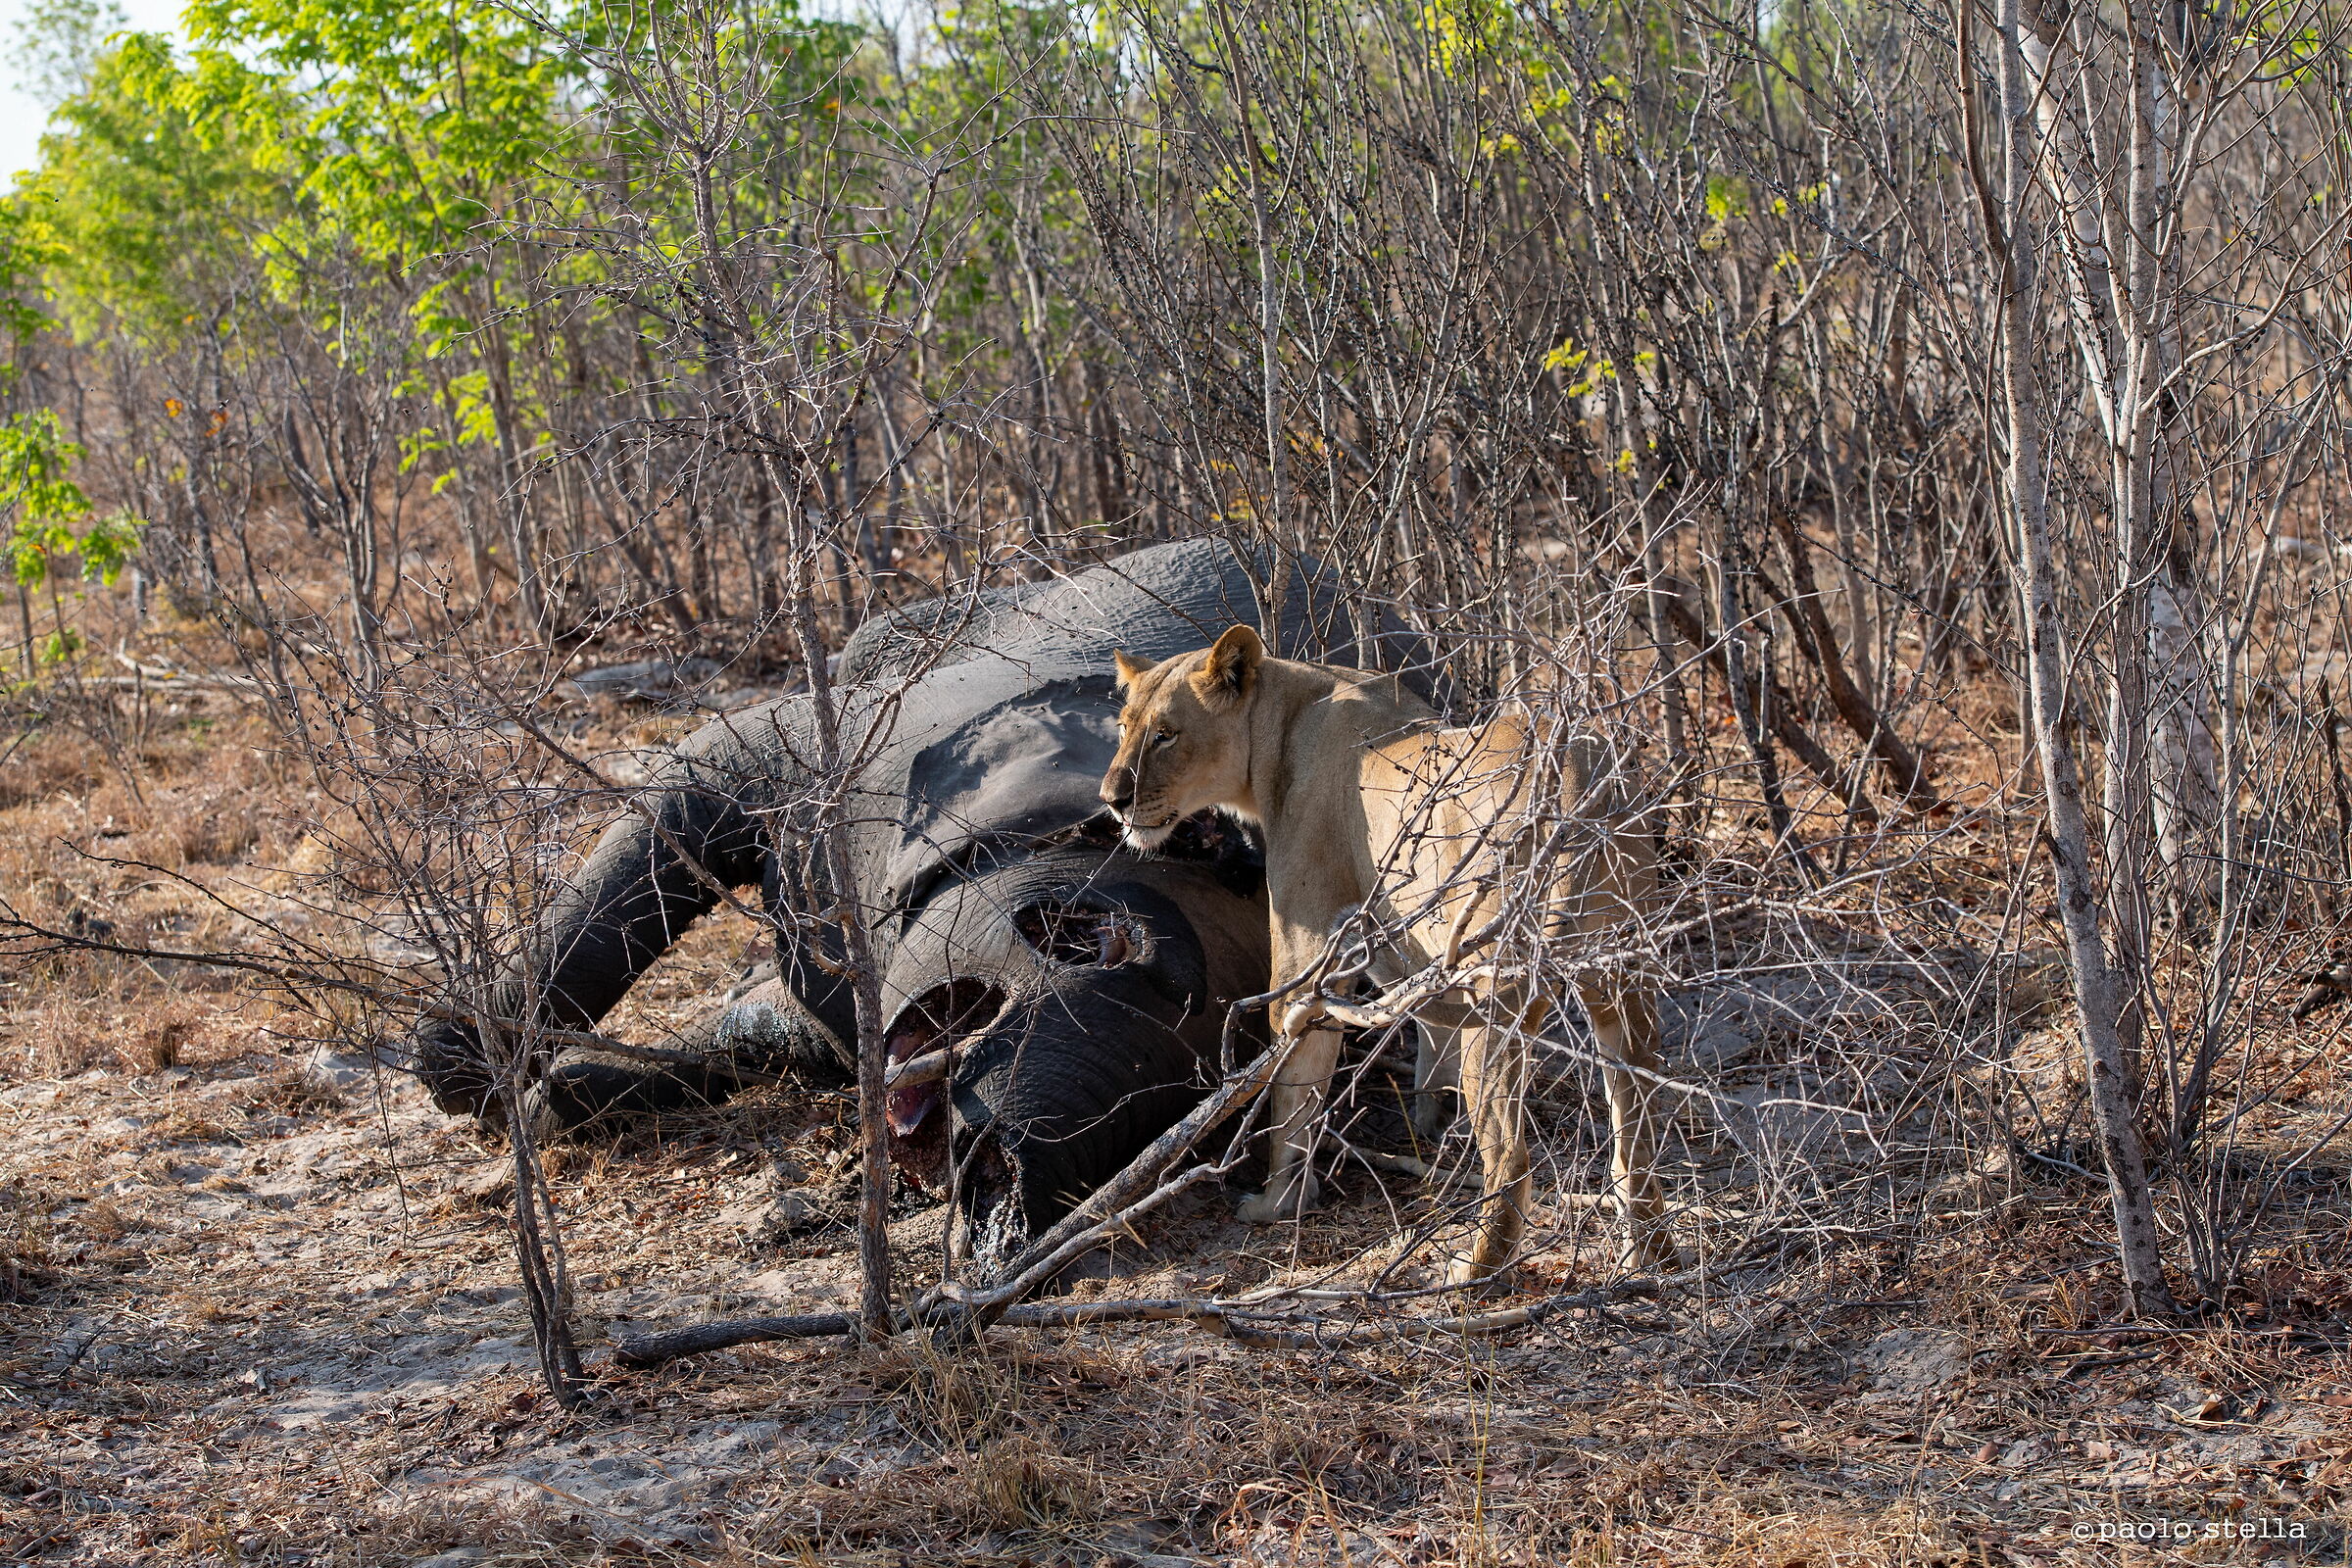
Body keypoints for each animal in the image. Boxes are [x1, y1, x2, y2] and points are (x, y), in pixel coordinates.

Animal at [408, 538, 1441, 1275]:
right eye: (1084, 938)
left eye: (1196, 1091)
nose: (1007, 1182)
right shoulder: (788, 747)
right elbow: (663, 824)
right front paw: (470, 1065)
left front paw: (555, 1088)